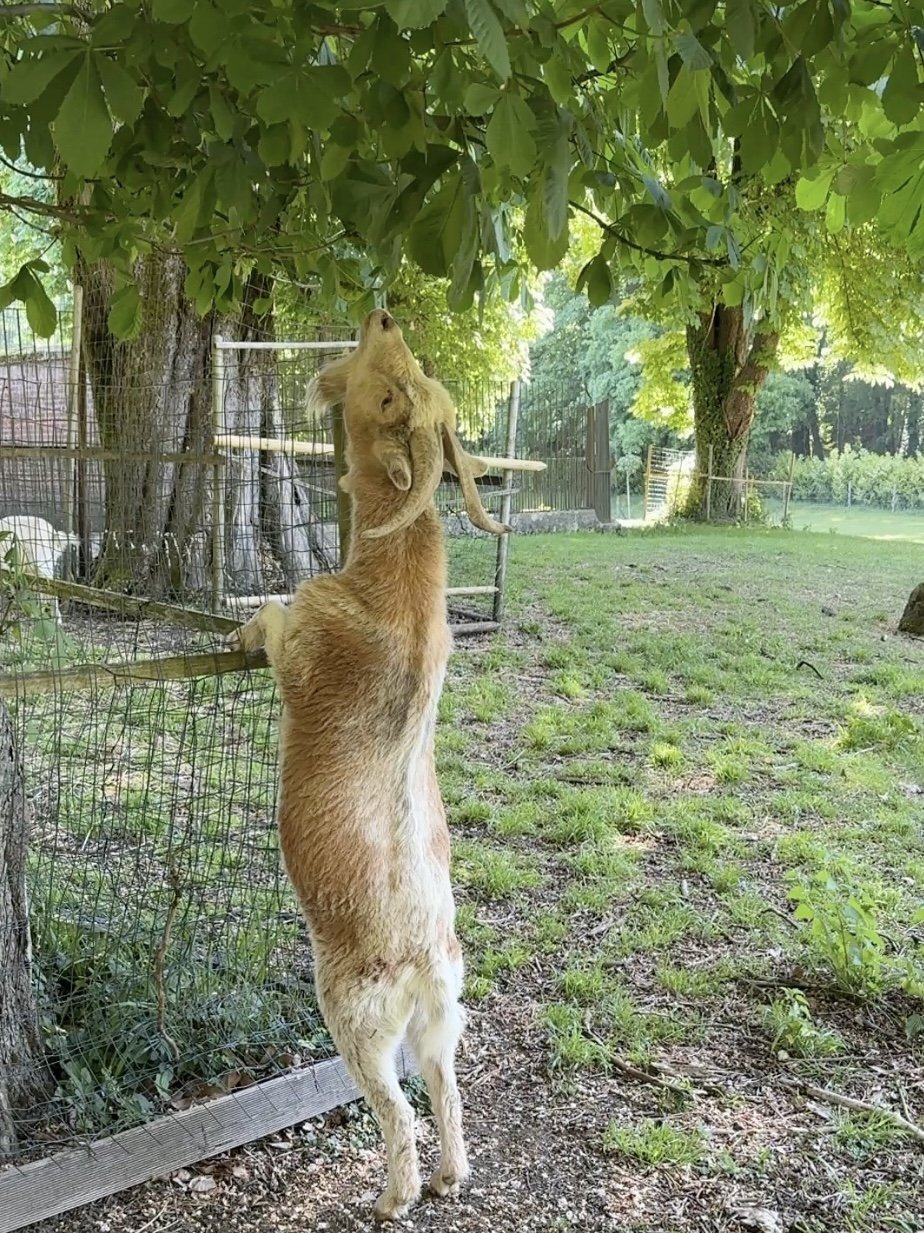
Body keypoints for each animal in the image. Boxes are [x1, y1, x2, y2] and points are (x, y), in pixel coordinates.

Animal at [227, 309, 511, 1221]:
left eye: (391, 395)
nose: (383, 315)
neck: (397, 592)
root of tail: (420, 956)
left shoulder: (304, 642)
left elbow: (274, 615)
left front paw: (240, 627)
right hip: (441, 1019)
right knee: (446, 1084)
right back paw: (453, 1175)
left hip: (354, 1015)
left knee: (396, 1107)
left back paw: (394, 1196)